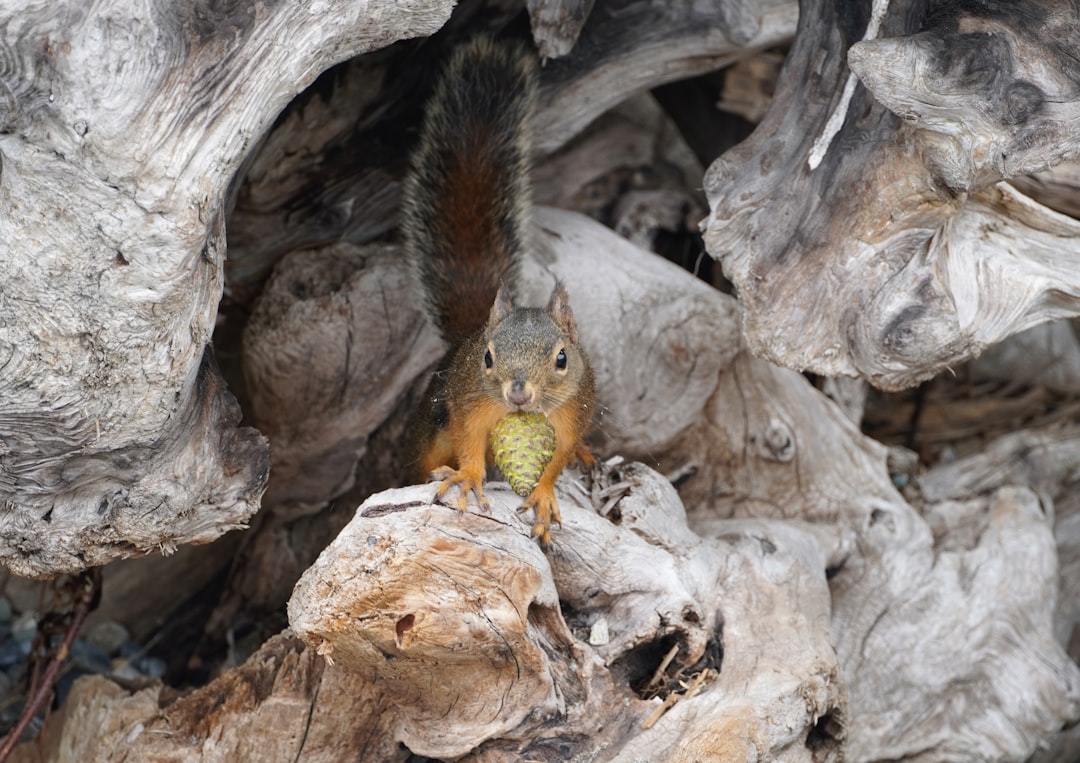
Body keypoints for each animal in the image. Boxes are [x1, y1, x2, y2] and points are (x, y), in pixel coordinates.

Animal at [401, 37, 596, 546]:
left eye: (562, 358)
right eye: (488, 358)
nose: (520, 394)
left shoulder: (572, 415)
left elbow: (557, 458)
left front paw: (545, 494)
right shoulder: (471, 402)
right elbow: (470, 441)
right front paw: (469, 477)